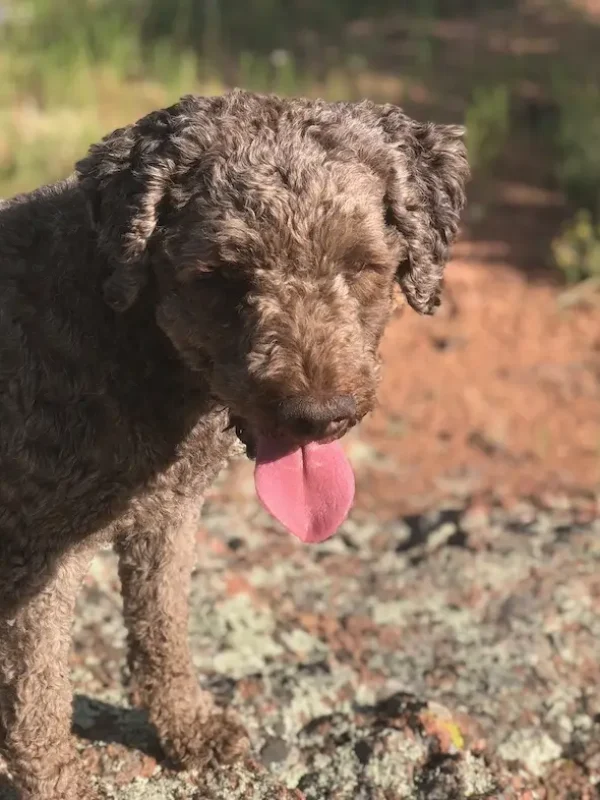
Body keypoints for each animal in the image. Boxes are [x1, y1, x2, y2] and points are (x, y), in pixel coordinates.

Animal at [0, 90, 468, 796]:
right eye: (217, 276)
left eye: (362, 266)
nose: (317, 417)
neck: (122, 334)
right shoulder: (36, 555)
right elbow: (39, 698)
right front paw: (57, 782)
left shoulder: (165, 518)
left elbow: (163, 629)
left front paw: (187, 726)